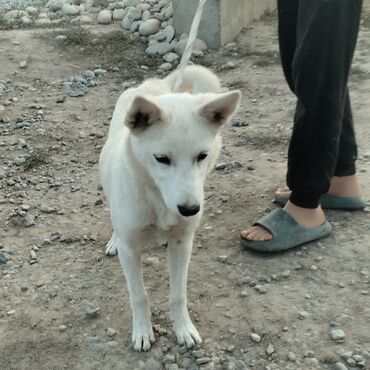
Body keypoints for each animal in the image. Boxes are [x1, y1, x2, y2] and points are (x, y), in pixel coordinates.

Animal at [99, 65, 241, 352]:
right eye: (161, 159)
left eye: (202, 156)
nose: (190, 209)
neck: (157, 199)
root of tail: (156, 84)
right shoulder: (130, 251)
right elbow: (139, 295)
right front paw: (142, 331)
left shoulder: (183, 243)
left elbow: (178, 294)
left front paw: (184, 330)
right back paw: (113, 240)